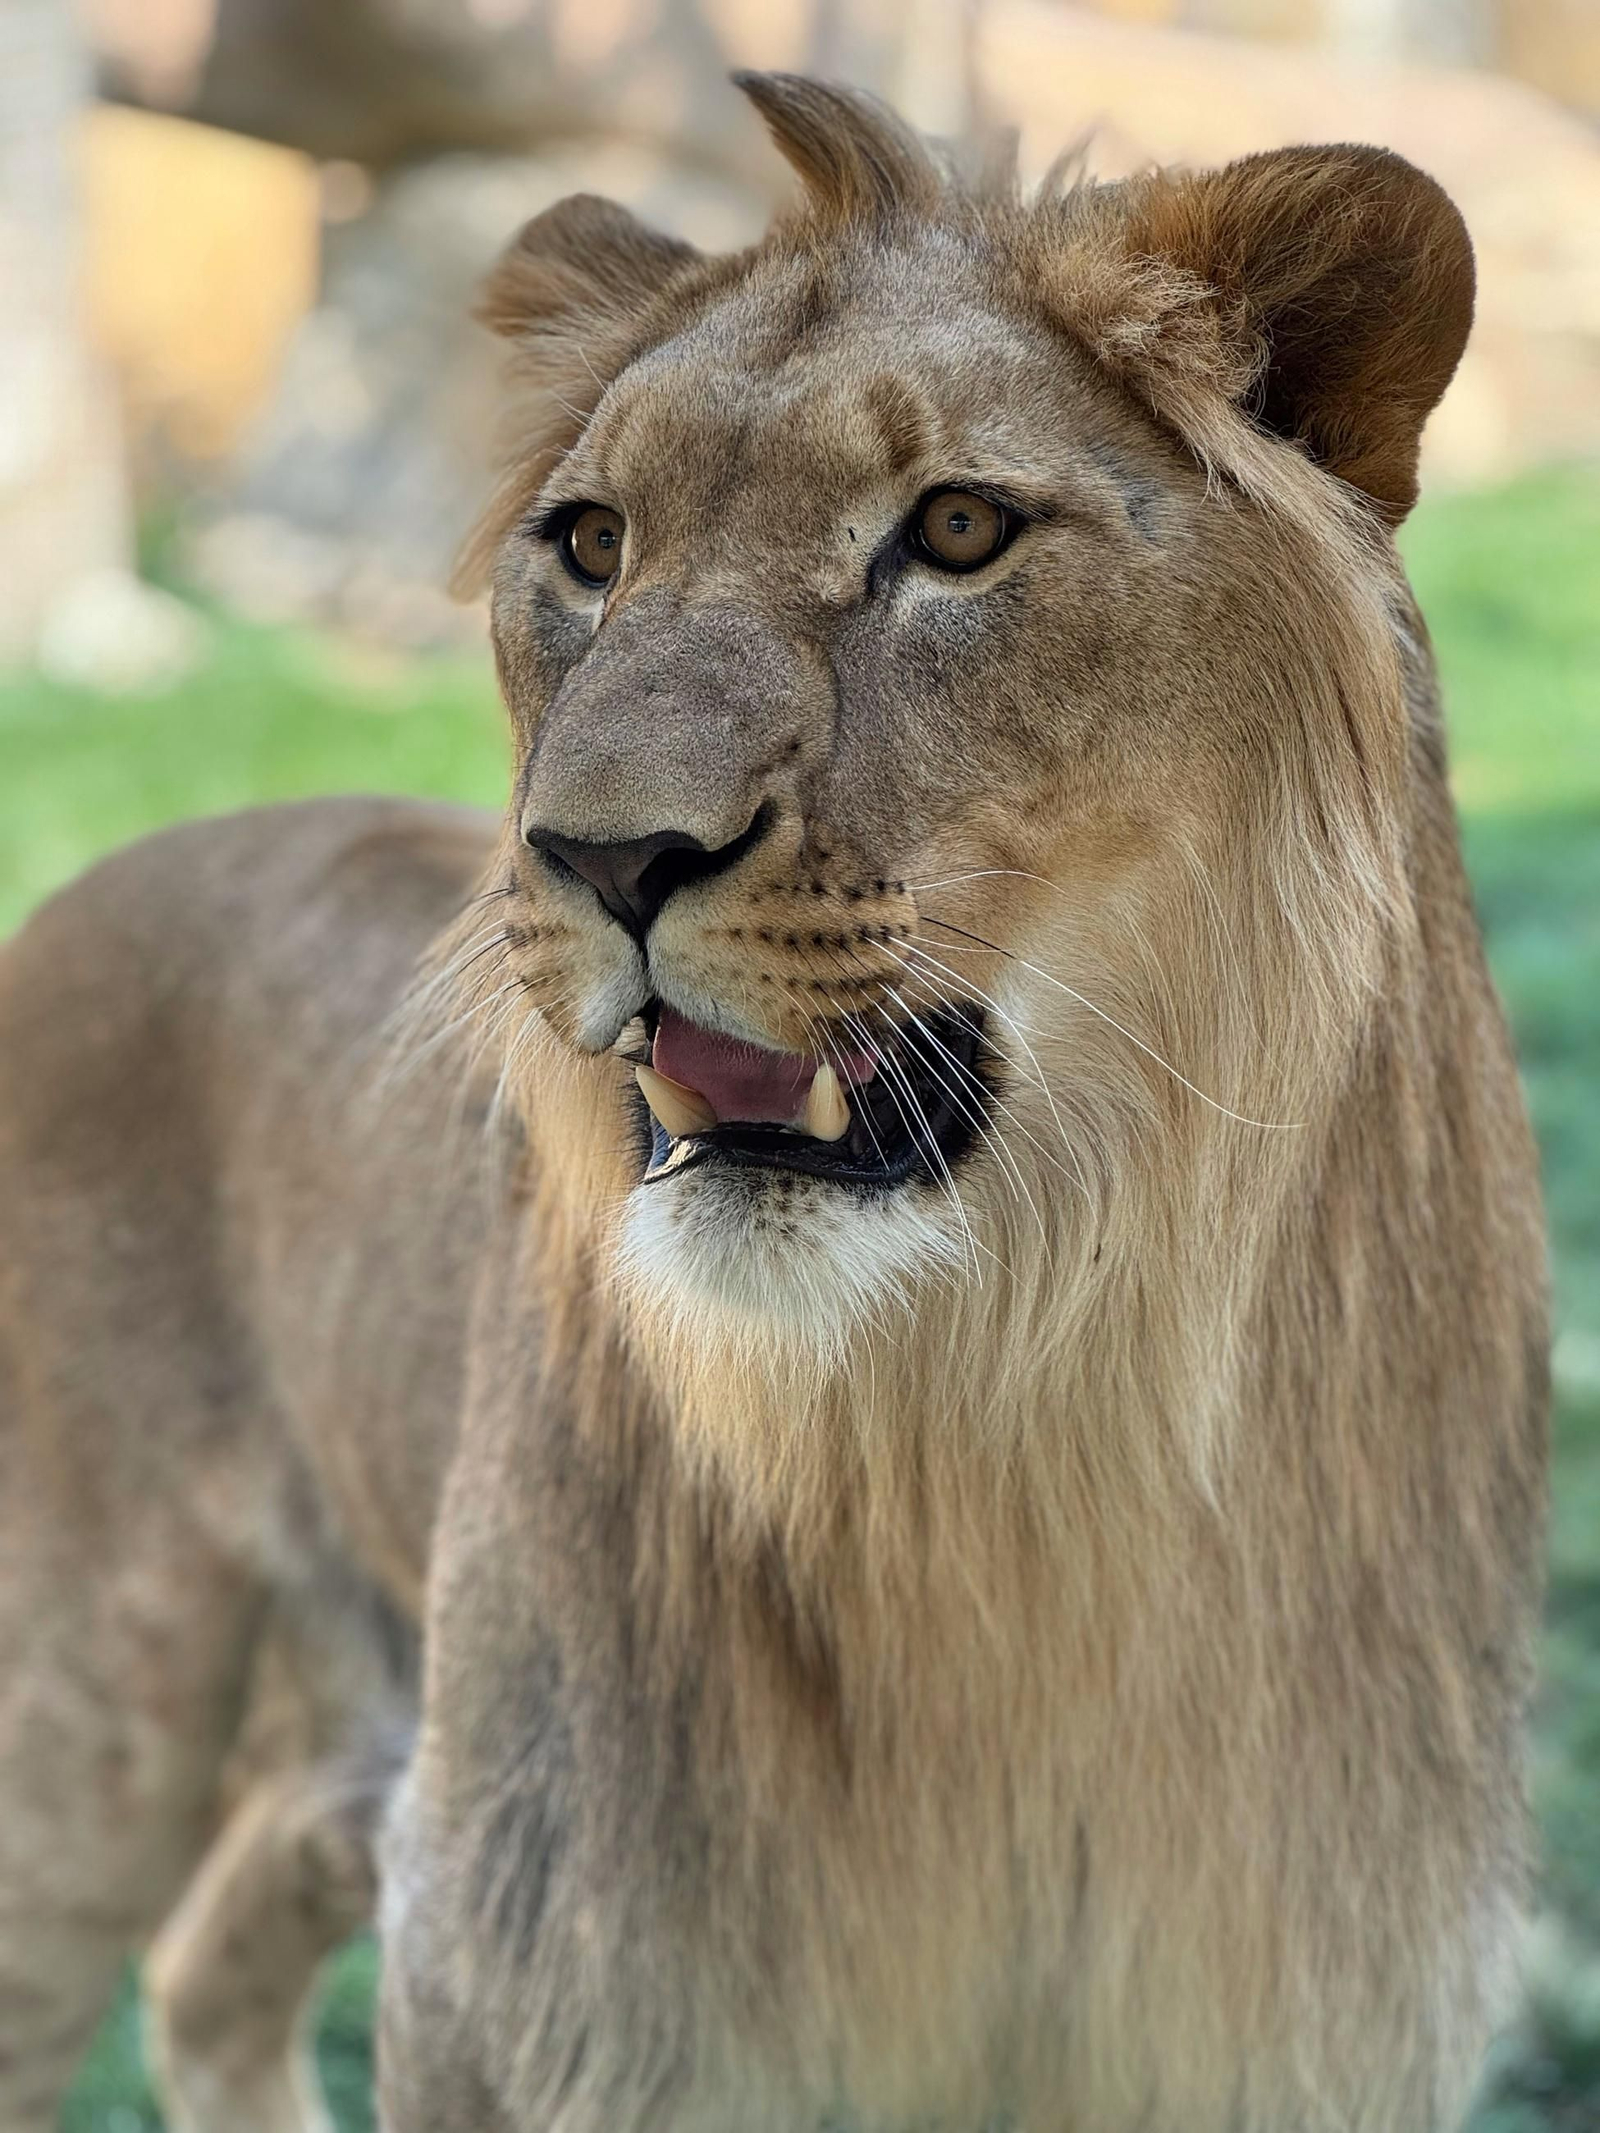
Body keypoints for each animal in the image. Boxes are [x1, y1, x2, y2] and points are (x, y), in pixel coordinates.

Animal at [0, 72, 1547, 2133]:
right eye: (590, 542)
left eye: (958, 529)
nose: (602, 856)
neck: (1019, 1446)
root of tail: (108, 864)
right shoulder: (526, 1981)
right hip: (96, 1700)